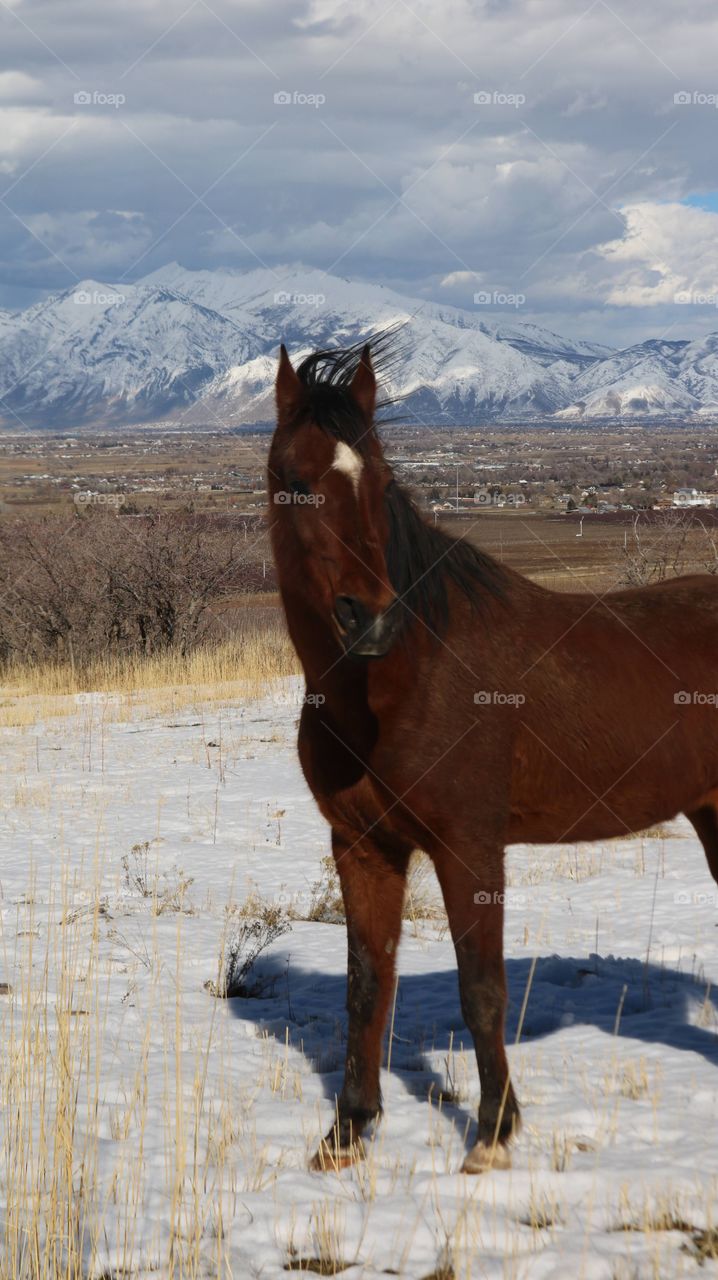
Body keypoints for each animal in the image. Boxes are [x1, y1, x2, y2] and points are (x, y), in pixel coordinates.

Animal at [268, 338, 718, 1174]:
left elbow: (482, 990)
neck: (403, 679)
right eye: (294, 479)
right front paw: (346, 1133)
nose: (369, 617)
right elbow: (366, 984)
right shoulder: (362, 847)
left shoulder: (469, 846)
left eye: (381, 480)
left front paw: (492, 1136)